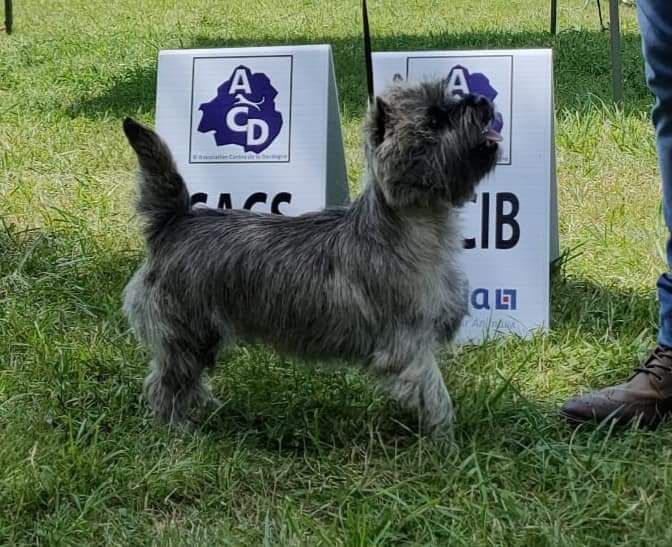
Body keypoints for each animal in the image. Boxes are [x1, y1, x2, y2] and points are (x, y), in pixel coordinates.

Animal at [122, 77, 498, 438]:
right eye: (433, 120)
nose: (482, 102)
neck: (417, 226)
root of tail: (174, 221)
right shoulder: (409, 345)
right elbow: (435, 395)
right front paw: (446, 442)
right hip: (185, 332)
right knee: (165, 383)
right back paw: (177, 430)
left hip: (202, 336)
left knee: (187, 379)